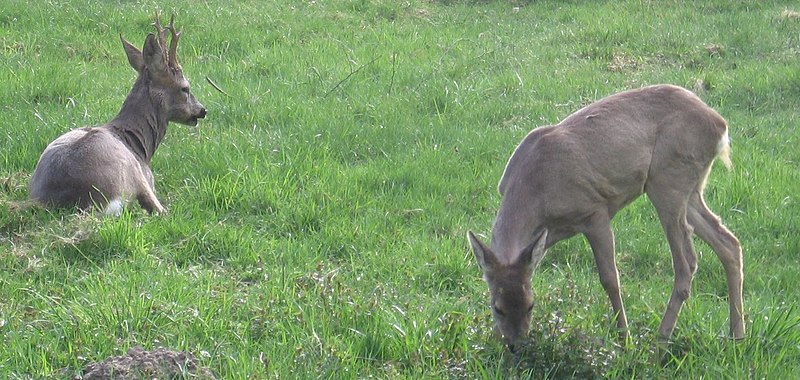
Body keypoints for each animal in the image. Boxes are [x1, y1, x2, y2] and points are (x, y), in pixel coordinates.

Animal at [468, 84, 744, 350]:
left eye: (530, 305)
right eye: (497, 307)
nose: (516, 346)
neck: (534, 189)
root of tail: (720, 124)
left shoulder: (595, 212)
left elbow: (610, 279)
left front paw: (625, 342)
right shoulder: (542, 238)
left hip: (668, 180)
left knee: (686, 264)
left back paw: (659, 346)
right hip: (691, 189)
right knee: (728, 243)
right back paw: (737, 337)